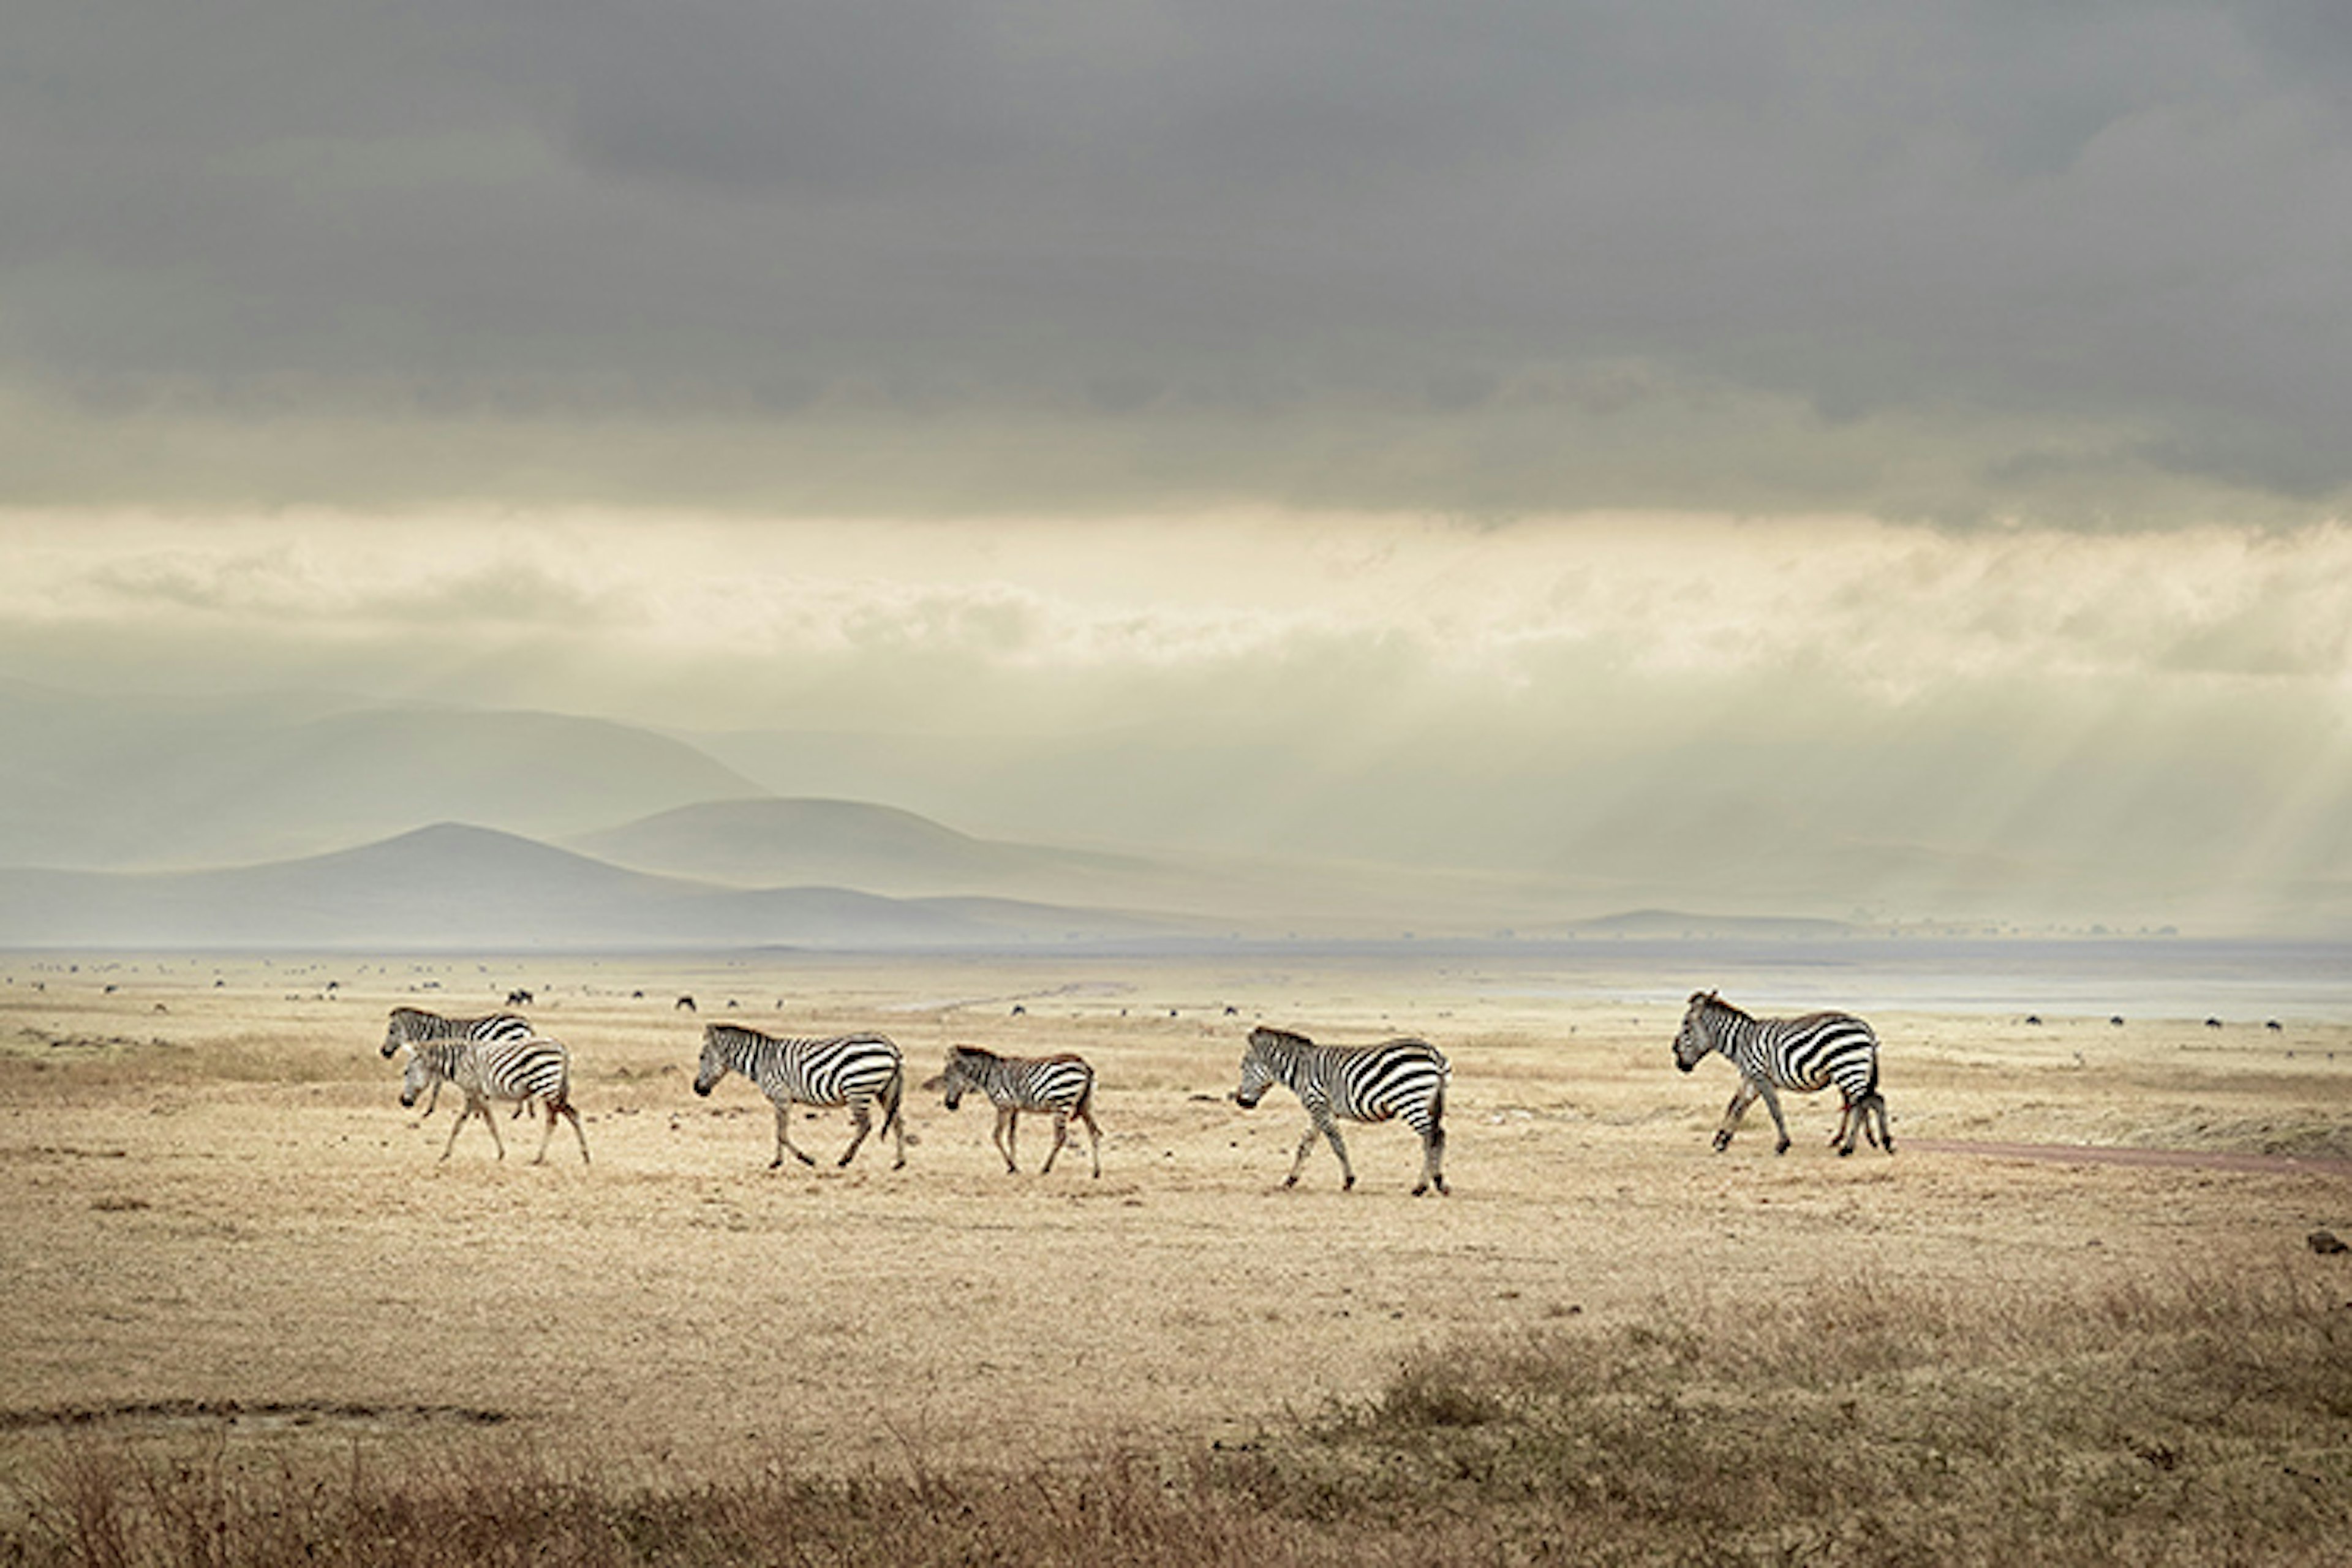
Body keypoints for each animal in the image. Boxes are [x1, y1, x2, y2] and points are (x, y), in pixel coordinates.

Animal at [399, 1044, 592, 1166]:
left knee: (559, 1118)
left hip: (546, 1085)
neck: (457, 1064)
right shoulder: (476, 1094)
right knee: (567, 1116)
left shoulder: (474, 1092)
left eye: (406, 1072)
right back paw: (583, 1156)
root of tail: (561, 1048)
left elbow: (482, 1122)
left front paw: (500, 1153)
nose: (403, 1101)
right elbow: (466, 1123)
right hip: (550, 1089)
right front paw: (447, 1153)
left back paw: (542, 1157)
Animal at [691, 1025, 903, 1170]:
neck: (762, 1062)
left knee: (865, 1125)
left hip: (857, 1089)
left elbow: (782, 1134)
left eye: (701, 1056)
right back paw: (900, 1162)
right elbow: (780, 1132)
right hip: (885, 1092)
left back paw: (844, 1159)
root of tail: (890, 1046)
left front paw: (803, 1159)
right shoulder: (782, 1101)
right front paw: (778, 1161)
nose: (696, 1089)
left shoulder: (781, 1097)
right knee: (897, 1122)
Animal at [917, 1044, 1101, 1175]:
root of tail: (1085, 1065)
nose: (950, 1105)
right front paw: (1014, 1166)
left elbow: (997, 1136)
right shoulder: (1014, 1108)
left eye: (947, 1078)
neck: (990, 1076)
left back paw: (1045, 1168)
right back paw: (1096, 1172)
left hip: (1062, 1102)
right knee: (1095, 1132)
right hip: (1085, 1105)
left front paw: (1012, 1167)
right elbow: (1012, 1137)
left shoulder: (1004, 1106)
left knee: (1061, 1137)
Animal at [1242, 1025, 1439, 1194]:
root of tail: (1432, 1052)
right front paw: (1290, 1180)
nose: (1240, 1101)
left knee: (1431, 1137)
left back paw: (1423, 1185)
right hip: (1425, 1103)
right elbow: (1306, 1144)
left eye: (1243, 1067)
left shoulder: (1318, 1104)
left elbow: (1337, 1144)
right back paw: (1438, 1181)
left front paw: (1348, 1181)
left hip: (1410, 1099)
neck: (1300, 1069)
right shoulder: (1320, 1109)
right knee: (1439, 1135)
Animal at [1675, 987, 1891, 1161]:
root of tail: (1866, 1029)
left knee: (1865, 1103)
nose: (1677, 1058)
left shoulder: (1760, 1075)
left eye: (1685, 1027)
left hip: (1848, 1067)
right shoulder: (1750, 1077)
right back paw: (1883, 1142)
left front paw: (1782, 1145)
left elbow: (1774, 1109)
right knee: (1871, 1101)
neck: (1741, 1042)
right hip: (1852, 1070)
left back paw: (1849, 1148)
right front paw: (1722, 1140)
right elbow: (1737, 1106)